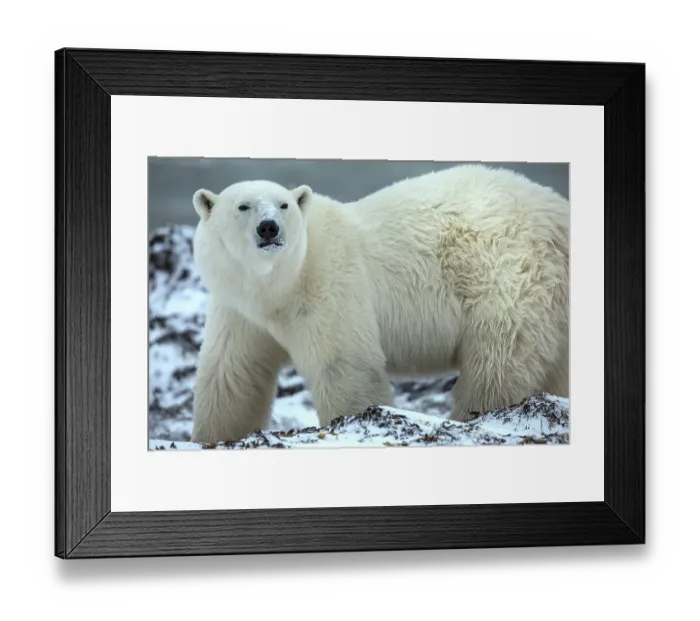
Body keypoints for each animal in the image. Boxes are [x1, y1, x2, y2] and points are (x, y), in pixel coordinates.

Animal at [189, 164, 569, 444]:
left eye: (283, 205)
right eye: (243, 206)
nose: (269, 228)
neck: (277, 287)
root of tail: (558, 214)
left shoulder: (329, 285)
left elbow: (344, 365)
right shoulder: (238, 309)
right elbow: (231, 374)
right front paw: (210, 438)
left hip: (504, 276)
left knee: (499, 361)